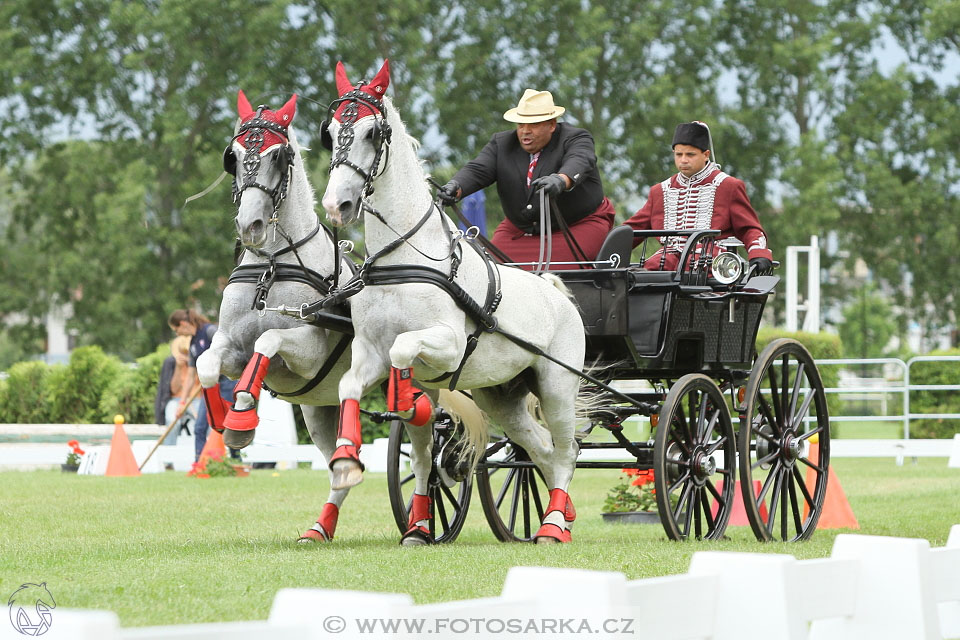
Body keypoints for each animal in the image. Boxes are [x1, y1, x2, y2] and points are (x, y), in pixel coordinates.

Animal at [195, 89, 356, 540]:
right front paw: (229, 423)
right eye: (232, 156)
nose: (249, 225)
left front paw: (242, 414)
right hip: (320, 408)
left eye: (277, 156)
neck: (272, 265)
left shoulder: (309, 353)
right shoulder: (230, 345)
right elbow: (205, 365)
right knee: (340, 469)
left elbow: (268, 341)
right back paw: (319, 529)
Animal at [320, 62, 584, 544]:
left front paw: (408, 401)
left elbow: (404, 347)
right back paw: (559, 515)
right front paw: (347, 462)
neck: (403, 259)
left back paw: (554, 524)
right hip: (502, 397)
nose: (337, 204)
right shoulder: (368, 350)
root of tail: (553, 290)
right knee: (538, 450)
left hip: (557, 384)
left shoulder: (448, 343)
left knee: (565, 450)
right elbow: (351, 386)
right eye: (330, 132)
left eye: (371, 132)